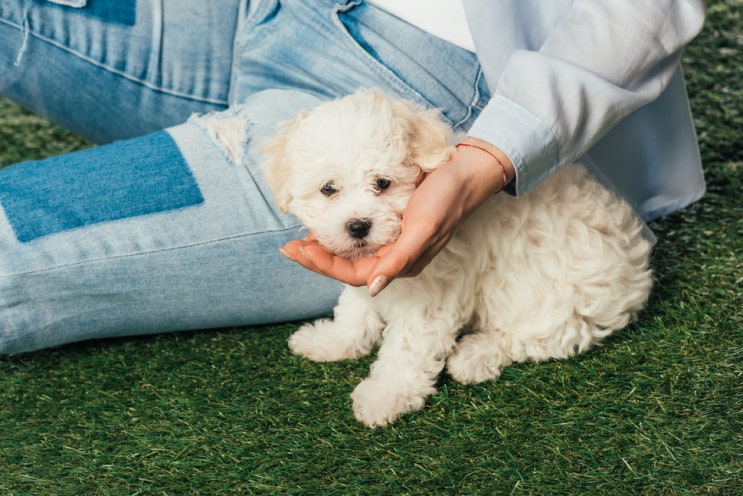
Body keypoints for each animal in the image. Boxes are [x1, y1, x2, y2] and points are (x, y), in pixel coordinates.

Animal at [260, 89, 652, 426]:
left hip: (554, 298)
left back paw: (474, 356)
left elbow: (406, 348)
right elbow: (355, 310)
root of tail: (636, 267)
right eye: (328, 189)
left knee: (538, 336)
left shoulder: (430, 295)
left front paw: (385, 396)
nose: (358, 226)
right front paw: (330, 341)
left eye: (383, 183)